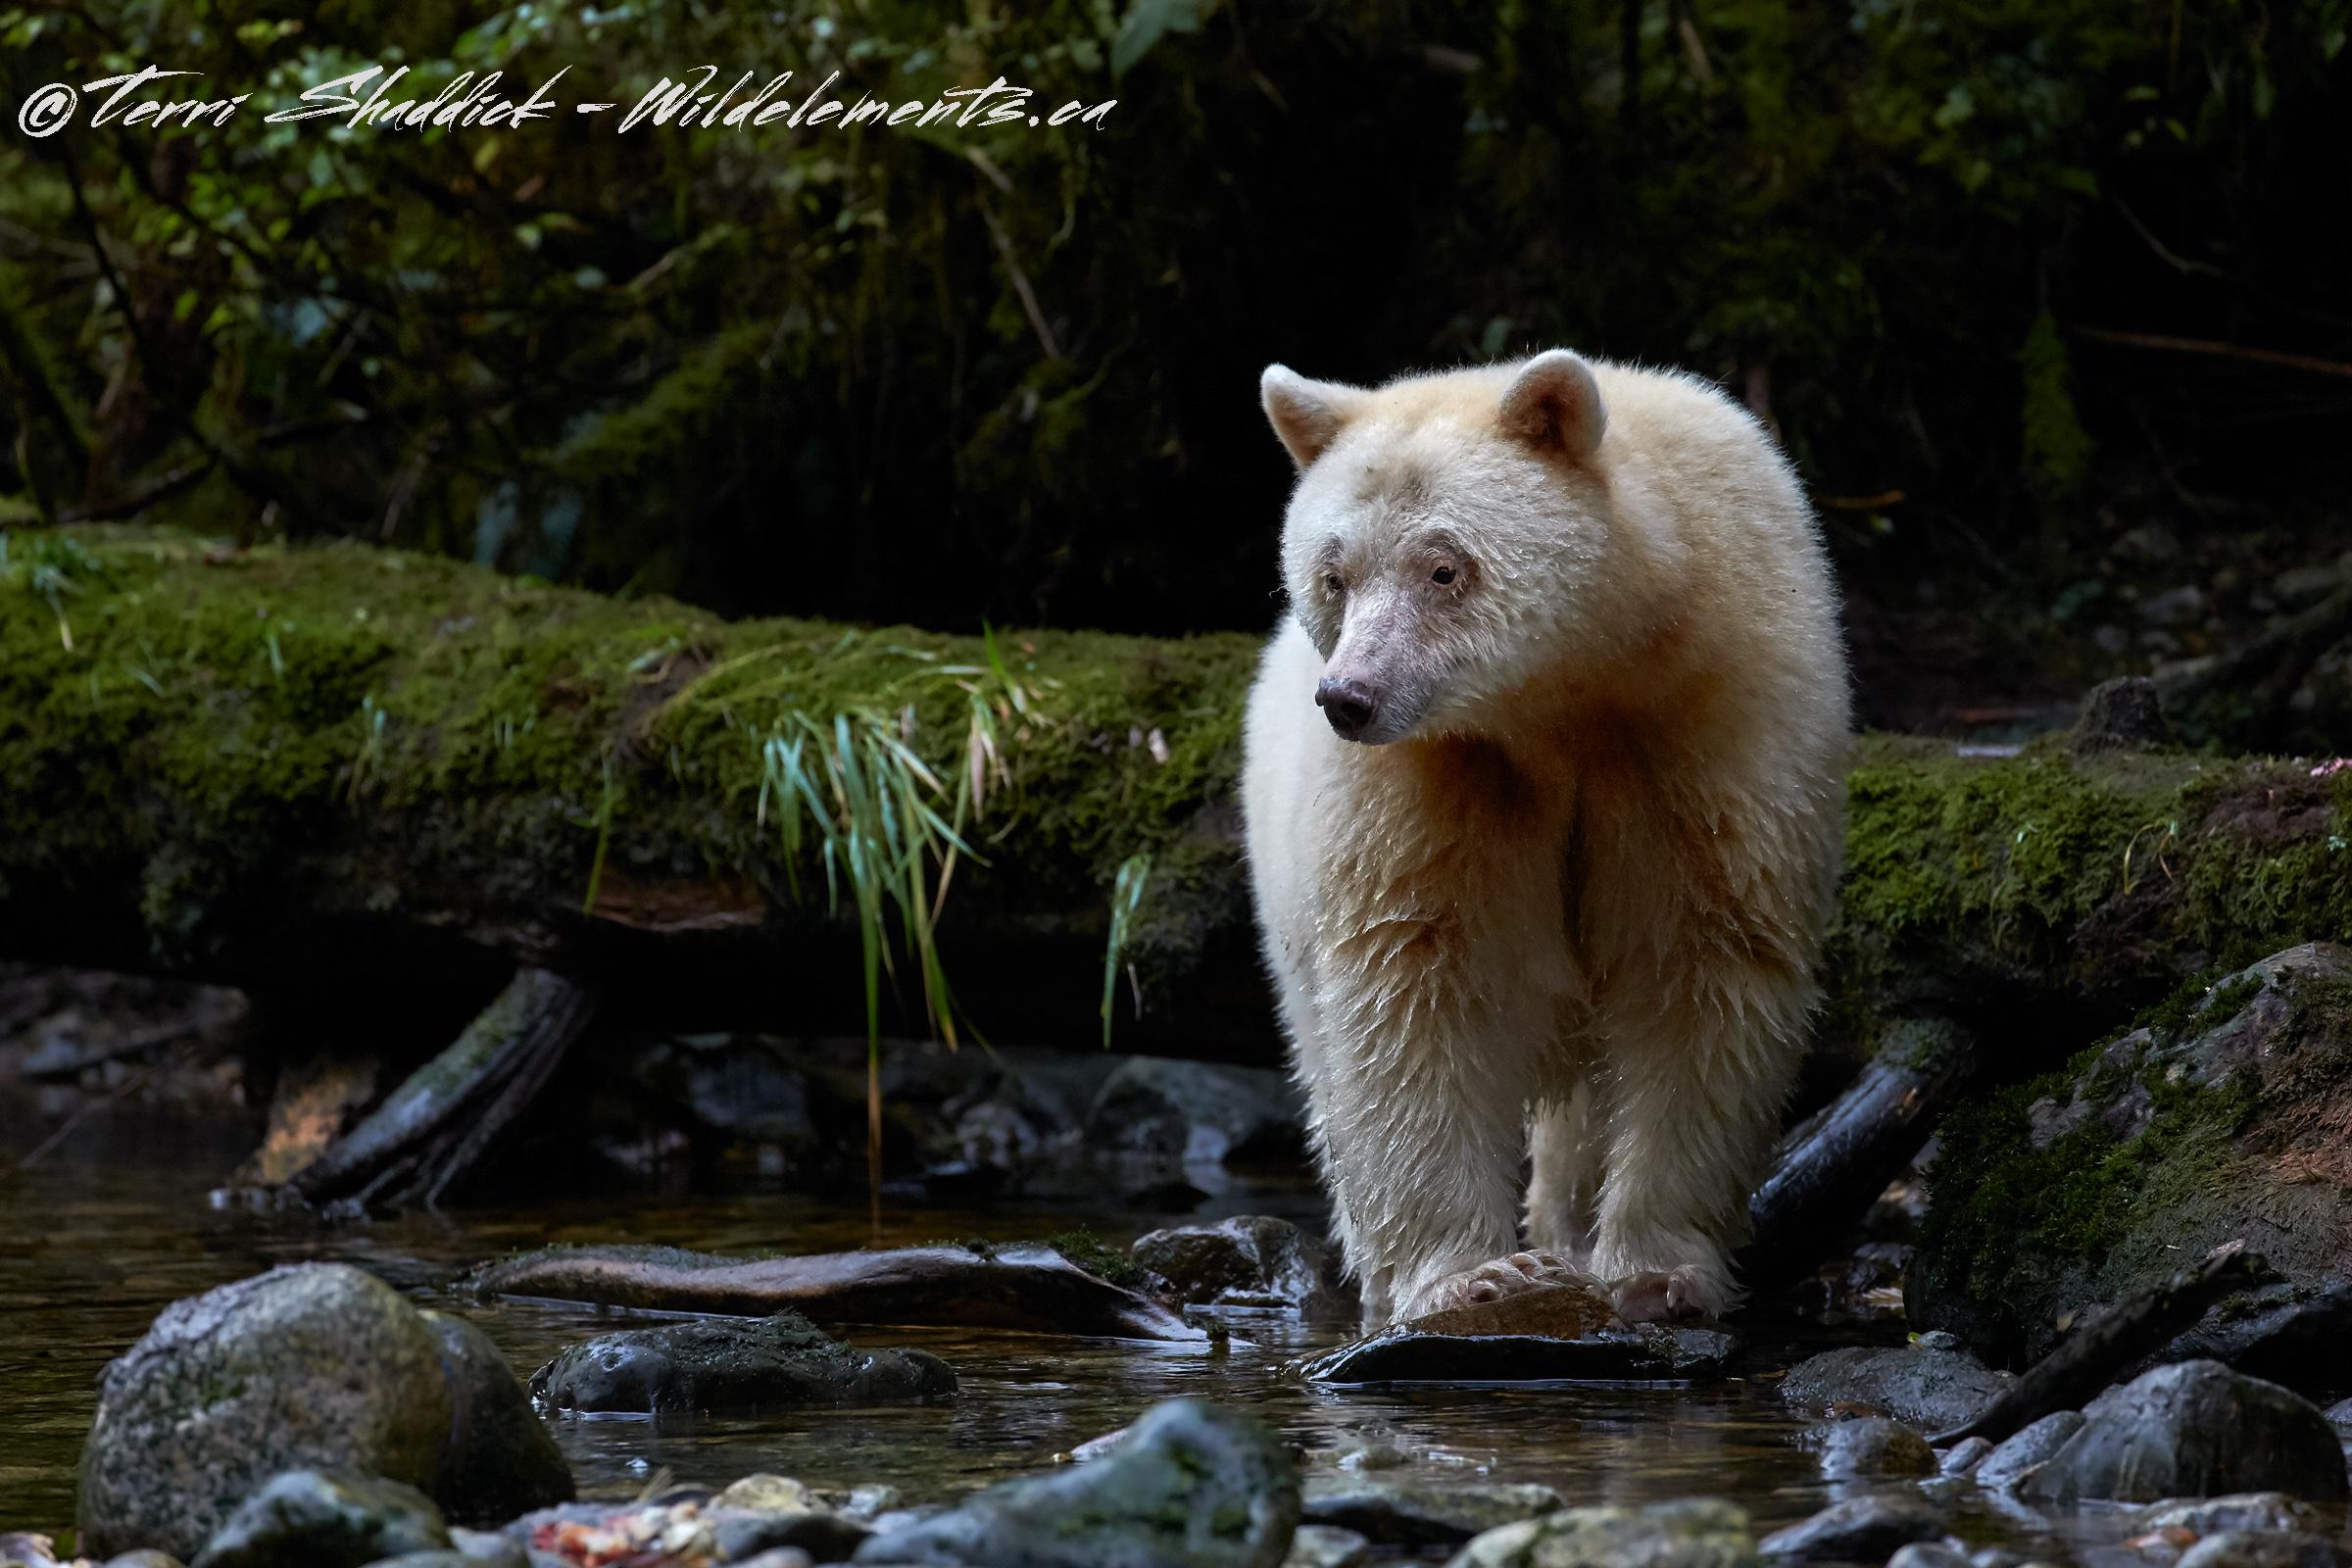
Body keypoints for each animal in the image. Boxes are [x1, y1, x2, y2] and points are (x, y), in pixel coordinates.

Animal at [1240, 349, 1848, 1328]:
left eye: (1443, 567)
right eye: (1335, 575)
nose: (1348, 697)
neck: (1563, 700)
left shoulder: (1714, 720)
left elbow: (1706, 964)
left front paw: (1658, 1273)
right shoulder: (1431, 784)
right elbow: (1414, 983)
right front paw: (1470, 1276)